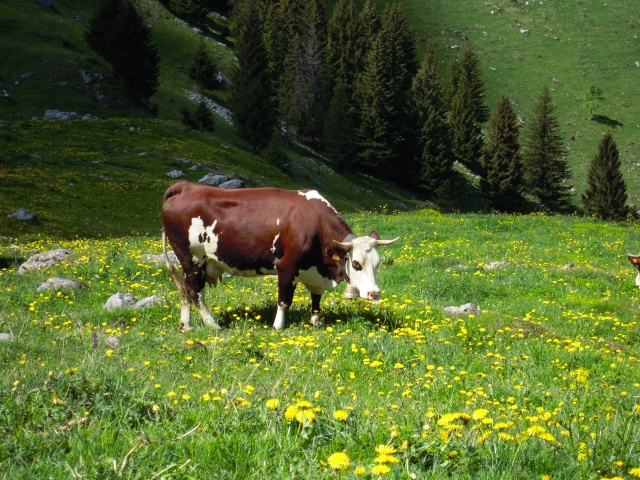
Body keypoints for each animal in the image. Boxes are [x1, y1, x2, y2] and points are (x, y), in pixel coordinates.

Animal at [161, 180, 400, 330]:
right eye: (357, 264)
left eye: (378, 263)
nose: (375, 293)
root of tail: (185, 187)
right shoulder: (287, 266)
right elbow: (284, 301)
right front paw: (278, 326)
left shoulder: (314, 271)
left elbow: (316, 297)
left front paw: (316, 321)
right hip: (192, 259)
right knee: (195, 292)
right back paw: (212, 324)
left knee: (184, 290)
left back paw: (187, 325)